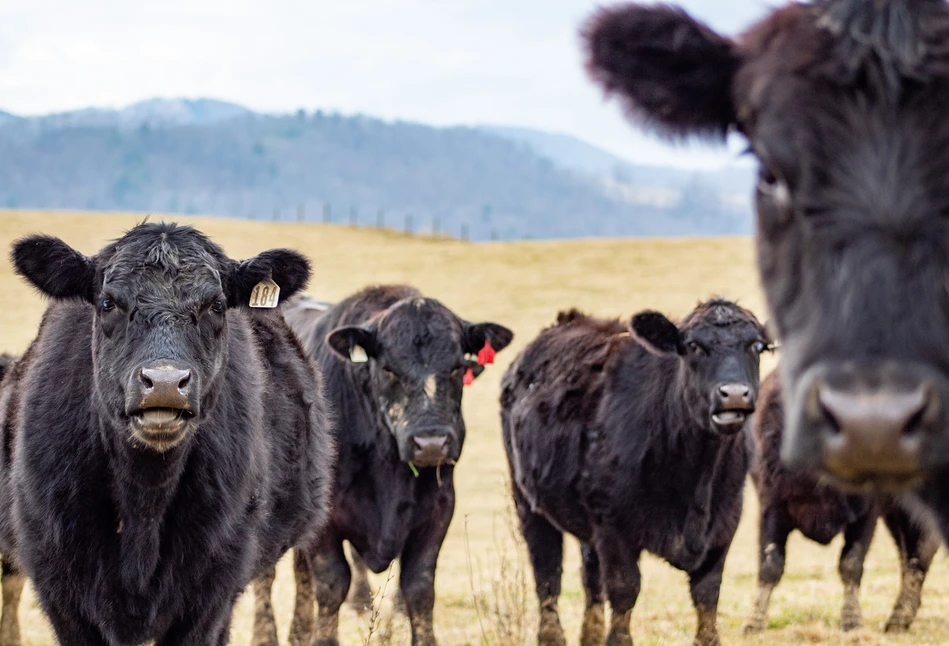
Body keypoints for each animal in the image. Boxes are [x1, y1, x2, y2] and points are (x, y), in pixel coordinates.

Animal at [0, 225, 334, 646]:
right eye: (108, 303)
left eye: (216, 306)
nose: (163, 383)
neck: (143, 503)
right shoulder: (61, 591)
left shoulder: (209, 595)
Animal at [264, 286, 512, 646]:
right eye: (389, 369)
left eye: (456, 368)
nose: (431, 442)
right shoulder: (326, 522)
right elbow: (332, 583)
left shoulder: (439, 510)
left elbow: (419, 589)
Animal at [504, 304, 772, 646]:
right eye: (693, 346)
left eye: (757, 346)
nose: (734, 394)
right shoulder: (615, 526)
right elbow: (624, 589)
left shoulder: (725, 523)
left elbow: (707, 595)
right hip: (527, 500)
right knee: (547, 574)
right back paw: (552, 636)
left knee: (590, 577)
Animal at [744, 372, 936, 636]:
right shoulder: (772, 506)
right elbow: (770, 565)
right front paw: (754, 622)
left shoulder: (867, 513)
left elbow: (851, 564)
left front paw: (852, 620)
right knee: (909, 551)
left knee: (920, 550)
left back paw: (899, 617)